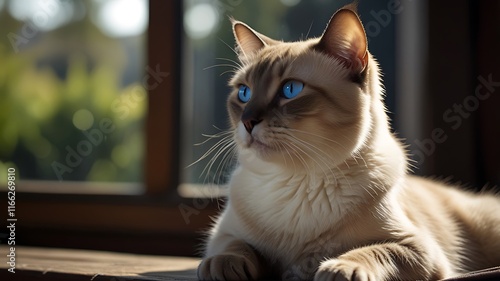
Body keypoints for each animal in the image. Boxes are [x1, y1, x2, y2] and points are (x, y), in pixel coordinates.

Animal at [196, 2, 500, 280]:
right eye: (244, 93)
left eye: (290, 89)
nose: (247, 121)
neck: (297, 180)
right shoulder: (223, 233)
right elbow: (234, 248)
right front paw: (221, 267)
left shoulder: (417, 247)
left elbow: (372, 250)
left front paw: (339, 268)